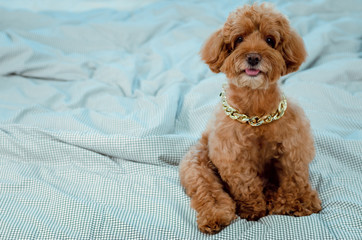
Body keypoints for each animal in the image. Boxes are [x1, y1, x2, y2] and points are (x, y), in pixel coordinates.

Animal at [180, 3, 320, 234]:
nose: (253, 57)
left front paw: (297, 202)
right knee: (208, 191)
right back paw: (215, 216)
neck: (256, 113)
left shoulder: (293, 146)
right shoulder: (232, 155)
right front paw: (254, 209)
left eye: (270, 40)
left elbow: (294, 177)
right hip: (196, 164)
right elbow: (245, 184)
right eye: (239, 39)